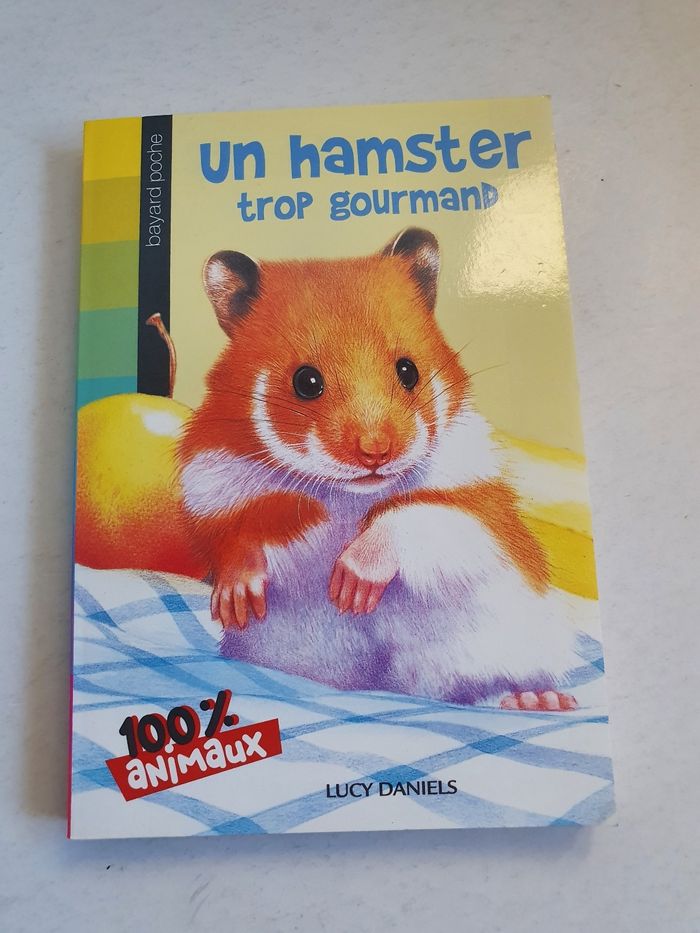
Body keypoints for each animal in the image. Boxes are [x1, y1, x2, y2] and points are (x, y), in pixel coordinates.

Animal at [179, 228, 581, 710]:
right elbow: (235, 535)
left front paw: (351, 589)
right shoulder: (211, 483)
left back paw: (537, 699)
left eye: (408, 371)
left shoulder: (481, 515)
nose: (376, 454)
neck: (348, 496)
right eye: (305, 382)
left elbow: (414, 518)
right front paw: (237, 601)